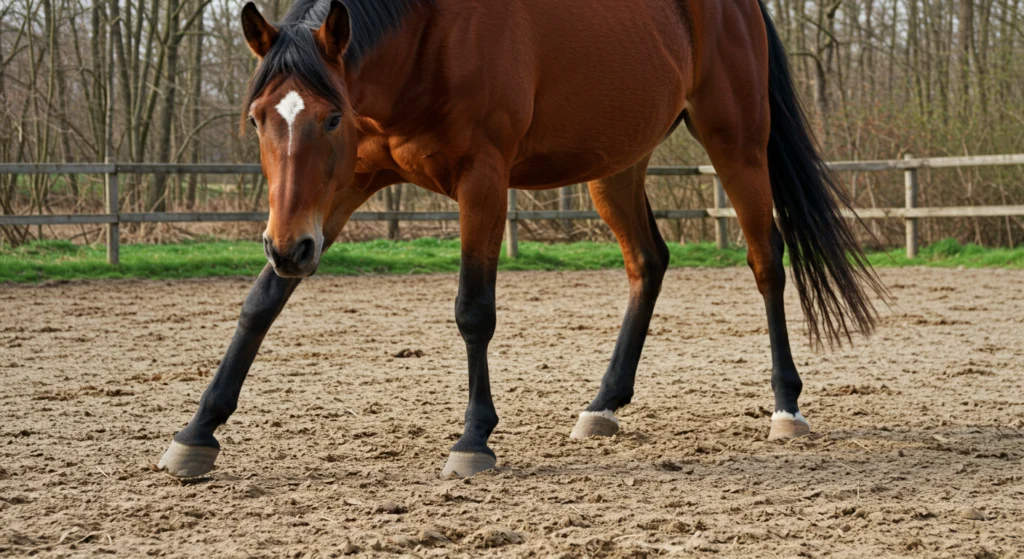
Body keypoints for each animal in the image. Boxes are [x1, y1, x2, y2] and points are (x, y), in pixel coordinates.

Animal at [158, 0, 886, 478]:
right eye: (259, 118)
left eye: (331, 116)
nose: (290, 247)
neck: (428, 36)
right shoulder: (342, 187)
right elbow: (261, 302)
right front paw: (197, 431)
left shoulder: (483, 181)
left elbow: (474, 310)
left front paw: (474, 439)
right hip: (615, 163)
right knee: (648, 262)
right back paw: (603, 404)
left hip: (736, 141)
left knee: (766, 261)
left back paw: (786, 405)